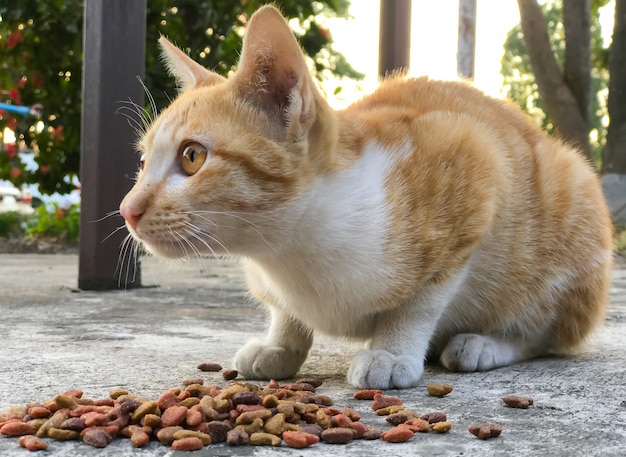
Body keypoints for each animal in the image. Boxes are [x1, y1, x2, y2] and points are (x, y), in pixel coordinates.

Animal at [119, 5, 612, 386]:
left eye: (192, 157)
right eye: (142, 163)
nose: (127, 210)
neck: (290, 252)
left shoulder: (475, 161)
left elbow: (423, 299)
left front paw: (392, 351)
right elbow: (287, 314)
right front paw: (281, 345)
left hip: (572, 199)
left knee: (550, 334)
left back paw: (483, 344)